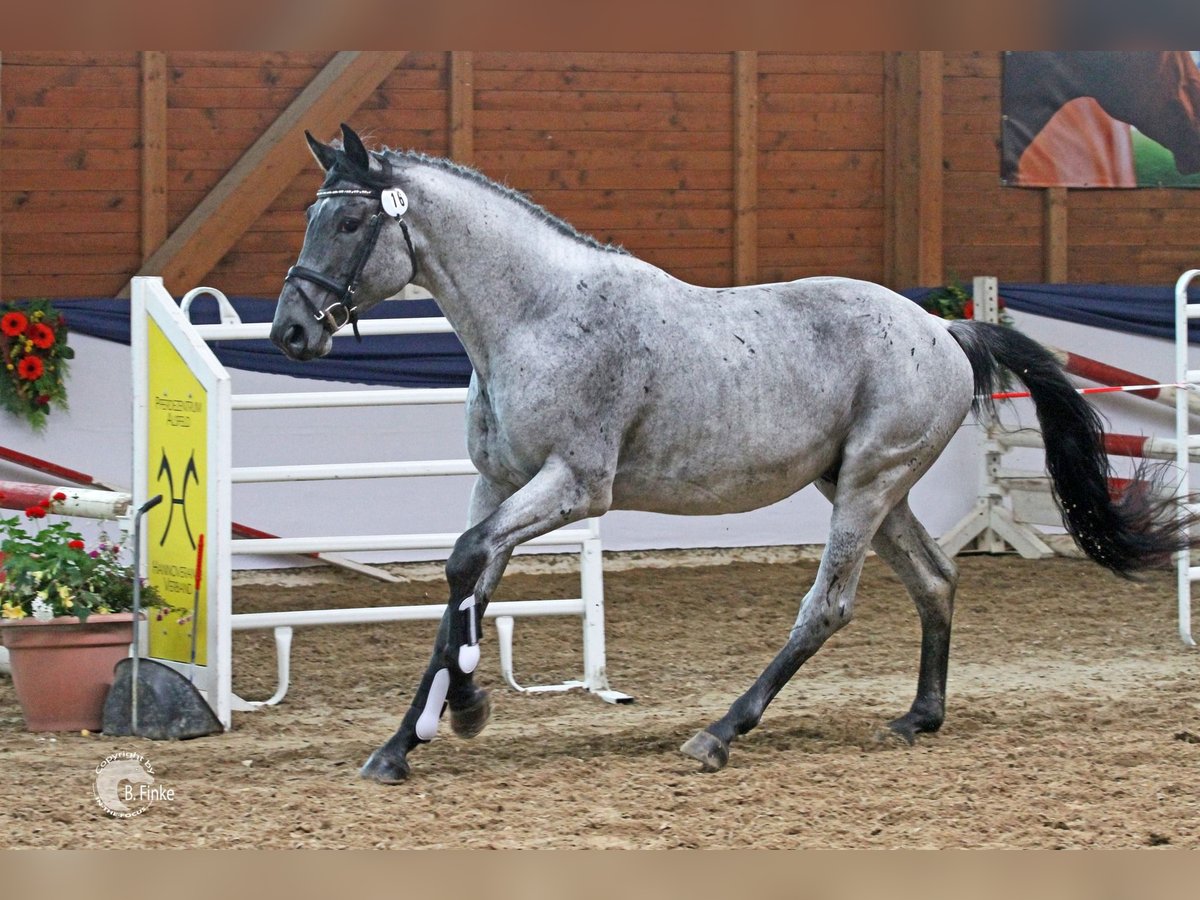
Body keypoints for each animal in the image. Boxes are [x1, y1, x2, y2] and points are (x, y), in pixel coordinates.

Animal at [270, 123, 1190, 787]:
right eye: (312, 217)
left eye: (349, 220)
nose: (291, 332)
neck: (536, 316)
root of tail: (943, 329)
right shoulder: (496, 485)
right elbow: (462, 587)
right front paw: (402, 745)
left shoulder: (574, 486)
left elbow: (465, 568)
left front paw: (464, 709)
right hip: (867, 486)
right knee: (934, 580)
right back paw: (916, 718)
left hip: (868, 484)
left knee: (828, 606)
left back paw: (718, 733)